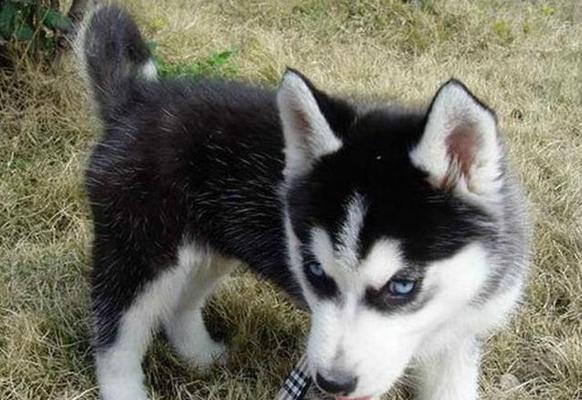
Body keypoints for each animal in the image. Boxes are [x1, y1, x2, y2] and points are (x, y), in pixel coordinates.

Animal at [80, 5, 532, 400]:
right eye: (314, 270)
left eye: (402, 285)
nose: (332, 383)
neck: (449, 308)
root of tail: (138, 98)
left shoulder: (457, 340)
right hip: (142, 251)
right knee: (115, 337)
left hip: (207, 248)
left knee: (181, 304)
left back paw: (200, 356)